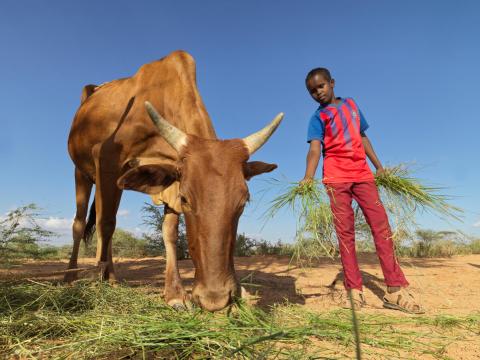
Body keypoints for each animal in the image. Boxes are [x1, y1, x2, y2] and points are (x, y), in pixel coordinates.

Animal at [65, 49, 284, 310]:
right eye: (186, 199)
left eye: (244, 202)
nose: (215, 298)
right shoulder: (107, 159)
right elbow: (105, 224)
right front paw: (100, 282)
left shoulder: (169, 179)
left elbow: (168, 232)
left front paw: (175, 293)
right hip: (82, 172)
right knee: (82, 223)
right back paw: (71, 276)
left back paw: (112, 276)